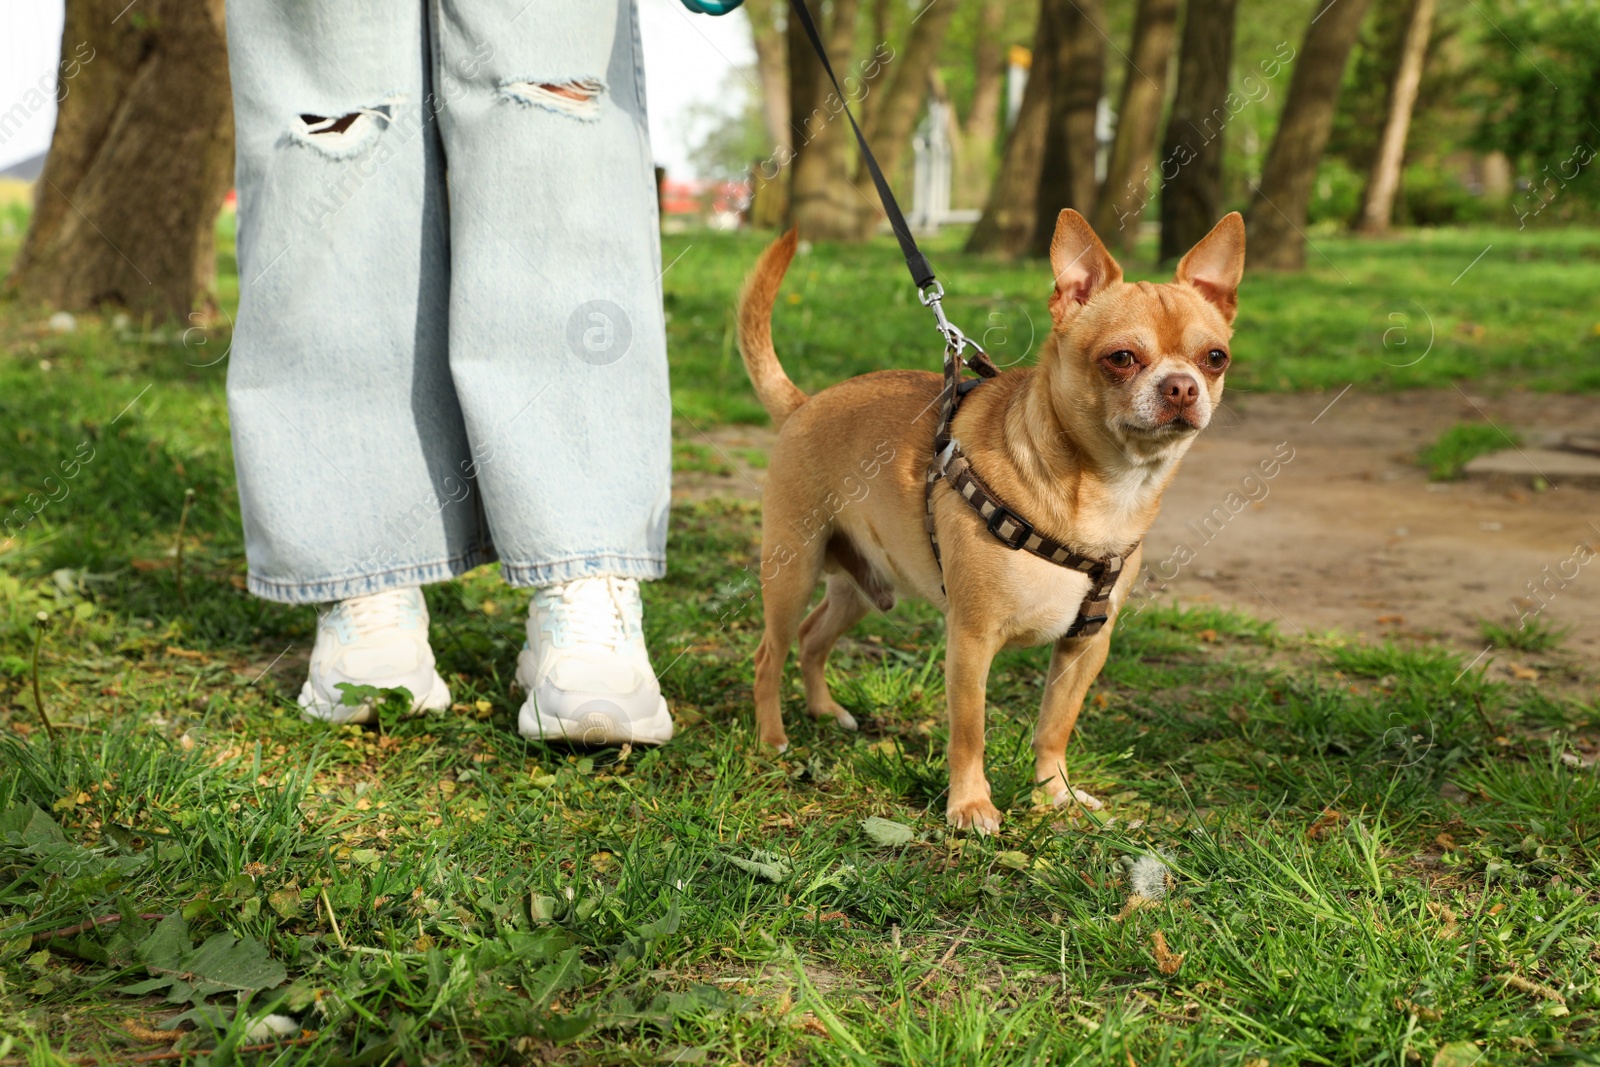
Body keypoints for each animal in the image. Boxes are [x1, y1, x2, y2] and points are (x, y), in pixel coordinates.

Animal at [736, 206, 1248, 825]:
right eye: (1121, 358)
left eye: (1215, 358)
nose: (1182, 386)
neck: (1105, 490)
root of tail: (804, 403)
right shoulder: (971, 640)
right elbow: (969, 732)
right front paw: (970, 803)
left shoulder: (1084, 648)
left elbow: (1054, 726)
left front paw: (1055, 795)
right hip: (792, 572)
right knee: (769, 654)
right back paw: (772, 739)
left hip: (863, 584)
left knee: (814, 640)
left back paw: (824, 711)